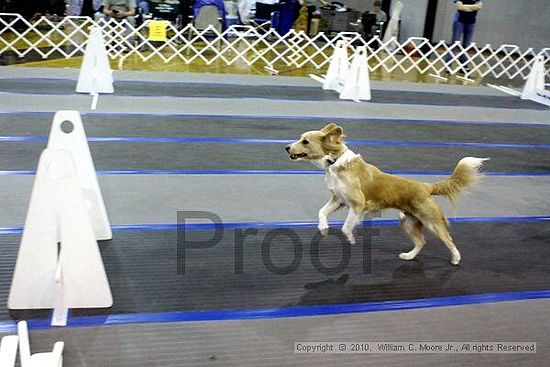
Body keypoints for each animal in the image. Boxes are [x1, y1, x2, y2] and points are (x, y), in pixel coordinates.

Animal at [286, 123, 490, 264]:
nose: (287, 147)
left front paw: (350, 238)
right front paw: (323, 228)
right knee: (421, 241)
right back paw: (408, 256)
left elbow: (346, 227)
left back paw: (456, 259)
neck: (335, 163)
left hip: (432, 222)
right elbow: (321, 212)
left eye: (305, 141)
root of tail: (427, 187)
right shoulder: (338, 200)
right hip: (408, 222)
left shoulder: (357, 204)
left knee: (448, 239)